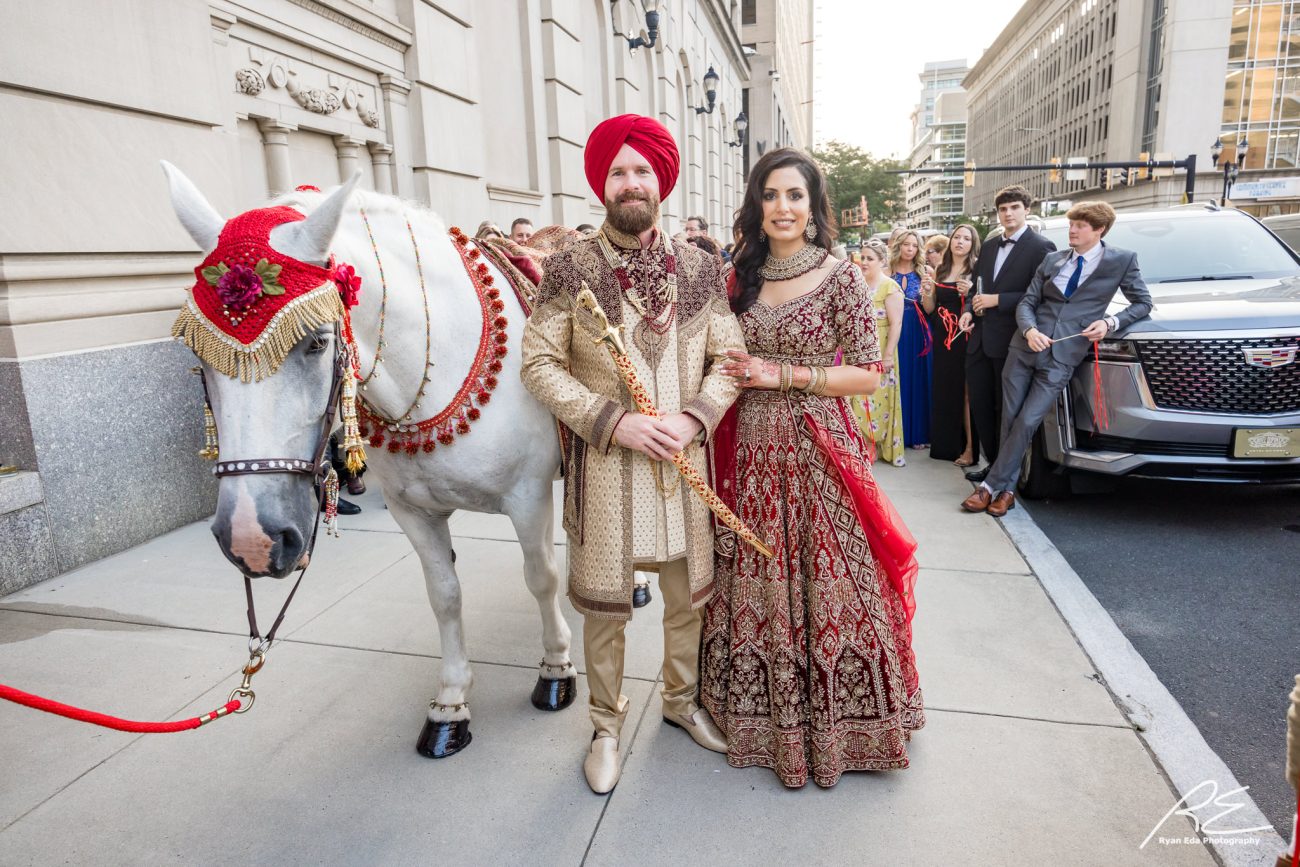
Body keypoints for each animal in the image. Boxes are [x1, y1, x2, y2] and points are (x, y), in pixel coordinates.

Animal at [161, 166, 574, 753]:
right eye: (199, 354)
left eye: (316, 342)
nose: (252, 539)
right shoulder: (412, 512)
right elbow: (444, 594)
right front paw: (451, 703)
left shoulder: (529, 497)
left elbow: (541, 577)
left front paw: (556, 669)